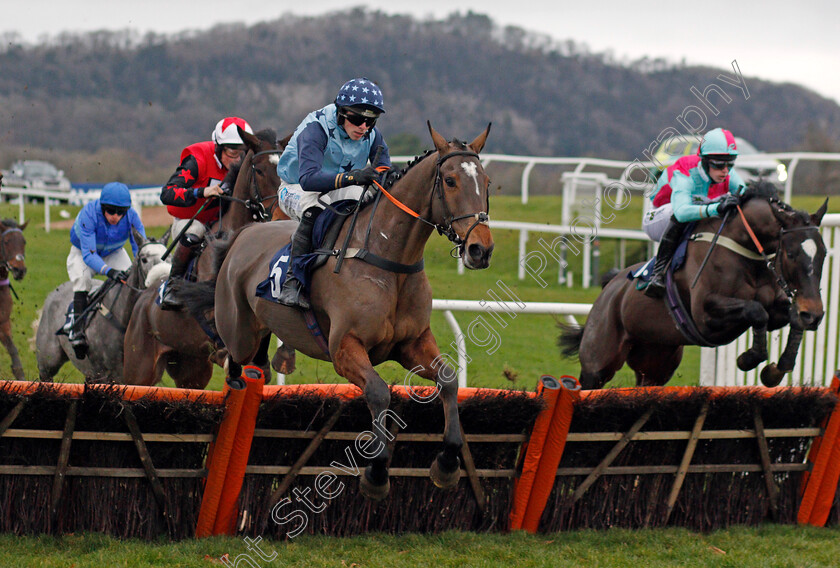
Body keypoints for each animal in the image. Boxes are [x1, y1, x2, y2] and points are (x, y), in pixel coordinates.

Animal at [35, 229, 169, 384]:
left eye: (169, 257)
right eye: (144, 259)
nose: (162, 281)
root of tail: (52, 294)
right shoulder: (105, 374)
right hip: (48, 364)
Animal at [120, 126, 292, 388]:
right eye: (260, 170)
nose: (281, 217)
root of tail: (142, 301)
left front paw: (272, 361)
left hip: (192, 370)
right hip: (138, 369)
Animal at [178, 123, 492, 496]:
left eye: (486, 182)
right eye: (450, 181)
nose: (480, 250)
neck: (386, 258)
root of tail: (244, 233)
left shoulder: (412, 343)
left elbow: (448, 381)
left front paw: (447, 462)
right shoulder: (344, 348)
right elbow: (379, 392)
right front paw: (376, 471)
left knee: (256, 367)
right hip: (239, 331)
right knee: (233, 369)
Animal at [560, 185, 832, 390]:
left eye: (823, 254)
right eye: (791, 254)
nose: (815, 314)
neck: (743, 248)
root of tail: (609, 289)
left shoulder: (775, 309)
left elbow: (786, 316)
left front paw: (776, 369)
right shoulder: (705, 317)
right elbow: (756, 311)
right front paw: (748, 359)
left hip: (656, 363)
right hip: (598, 361)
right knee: (588, 382)